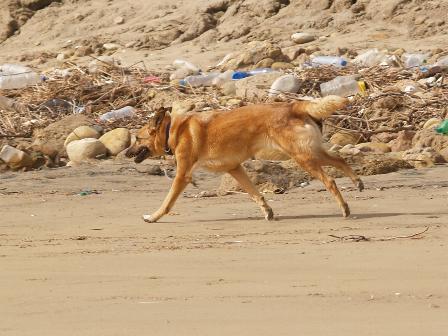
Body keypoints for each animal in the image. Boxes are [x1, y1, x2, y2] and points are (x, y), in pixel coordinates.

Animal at [127, 96, 364, 223]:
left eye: (137, 138)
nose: (126, 153)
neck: (172, 131)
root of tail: (294, 105)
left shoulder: (182, 176)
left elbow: (167, 202)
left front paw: (153, 217)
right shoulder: (235, 169)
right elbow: (255, 194)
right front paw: (267, 211)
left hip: (303, 157)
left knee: (330, 180)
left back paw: (344, 208)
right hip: (310, 153)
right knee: (340, 159)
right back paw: (357, 182)